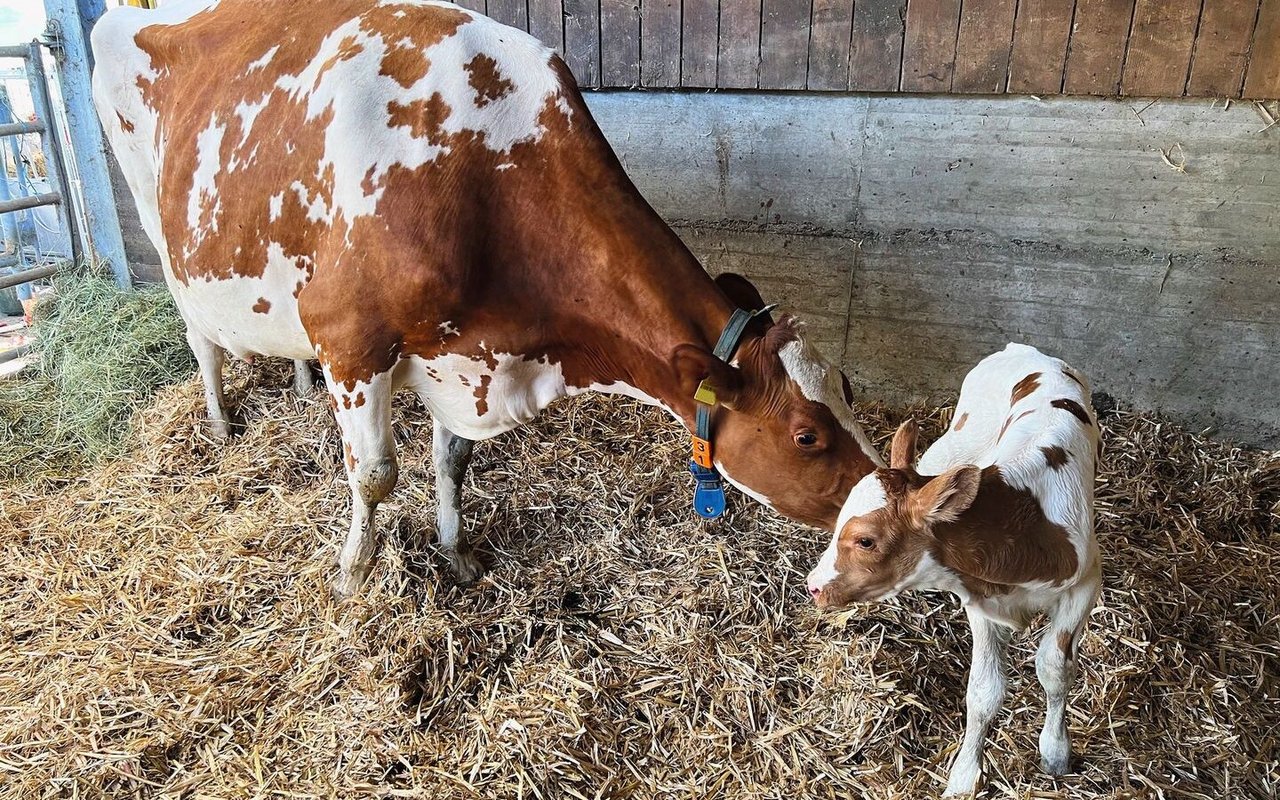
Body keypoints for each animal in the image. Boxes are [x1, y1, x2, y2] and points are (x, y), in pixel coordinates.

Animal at [92, 1, 890, 599]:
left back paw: (295, 381)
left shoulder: (463, 355)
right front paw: (354, 573)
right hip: (161, 231)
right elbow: (374, 475)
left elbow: (452, 464)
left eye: (850, 389)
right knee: (200, 337)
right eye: (807, 436)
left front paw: (456, 552)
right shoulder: (351, 339)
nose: (891, 496)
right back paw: (221, 419)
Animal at [808, 340, 1100, 793]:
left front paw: (1055, 750)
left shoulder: (1086, 581)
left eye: (866, 540)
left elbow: (1053, 667)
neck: (1022, 528)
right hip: (952, 444)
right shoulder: (981, 601)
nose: (814, 585)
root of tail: (1023, 350)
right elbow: (984, 692)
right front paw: (964, 776)